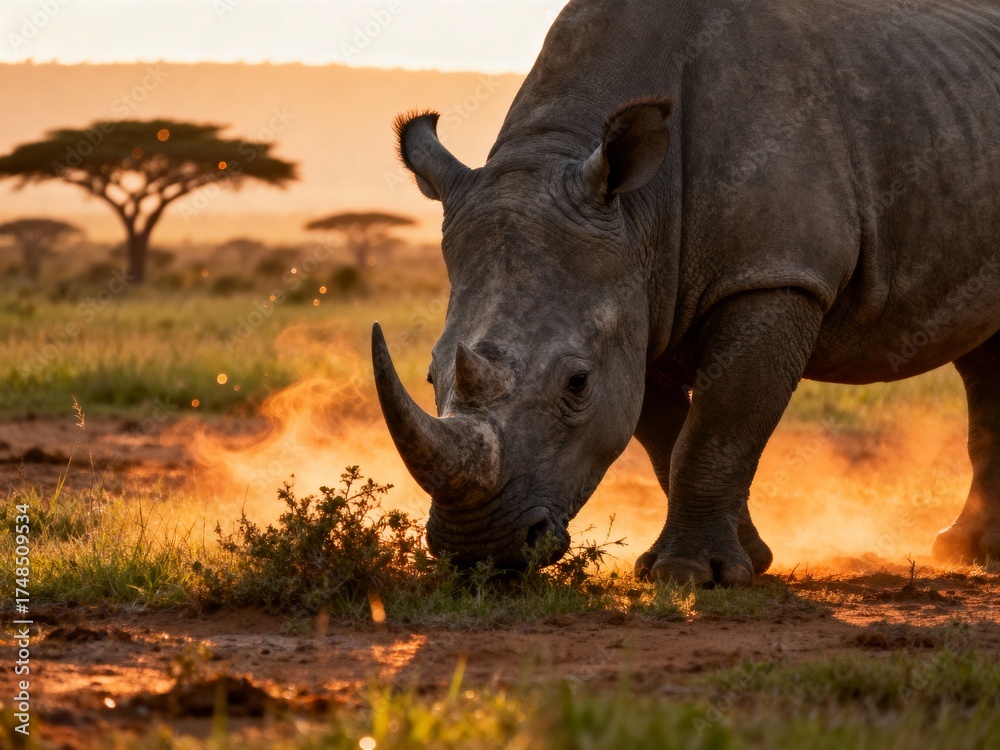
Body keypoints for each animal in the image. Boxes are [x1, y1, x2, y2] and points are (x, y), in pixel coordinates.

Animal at [372, 0, 1000, 585]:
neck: (637, 210)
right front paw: (742, 561)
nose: (476, 548)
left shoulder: (774, 273)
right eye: (430, 375)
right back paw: (968, 552)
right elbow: (665, 438)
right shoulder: (637, 299)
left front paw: (691, 573)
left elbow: (718, 425)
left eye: (577, 384)